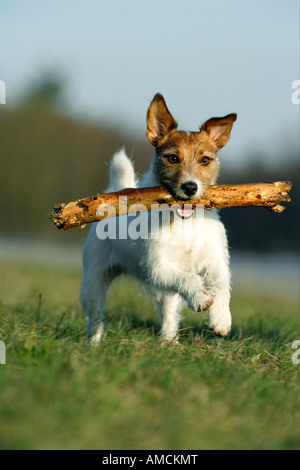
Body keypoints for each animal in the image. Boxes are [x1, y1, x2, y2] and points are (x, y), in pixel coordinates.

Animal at [79, 92, 237, 342]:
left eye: (205, 160)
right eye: (172, 158)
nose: (190, 187)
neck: (185, 225)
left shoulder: (215, 260)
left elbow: (221, 284)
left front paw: (221, 318)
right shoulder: (158, 267)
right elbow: (188, 279)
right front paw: (200, 297)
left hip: (165, 295)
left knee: (169, 314)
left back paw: (169, 341)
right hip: (93, 282)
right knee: (95, 316)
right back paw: (93, 344)